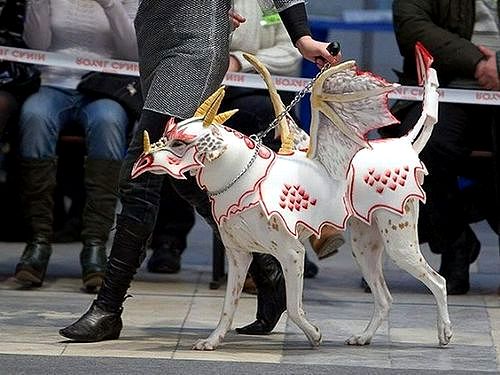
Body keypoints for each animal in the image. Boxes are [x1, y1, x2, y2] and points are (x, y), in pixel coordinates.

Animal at [131, 44, 452, 352]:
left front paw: (314, 334)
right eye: (167, 134)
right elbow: (227, 308)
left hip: (400, 245)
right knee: (385, 299)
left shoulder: (293, 255)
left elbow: (295, 309)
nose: (141, 162)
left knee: (438, 282)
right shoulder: (239, 258)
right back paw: (364, 337)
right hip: (365, 249)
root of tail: (404, 144)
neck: (243, 178)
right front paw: (213, 340)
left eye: (179, 143)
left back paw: (445, 332)